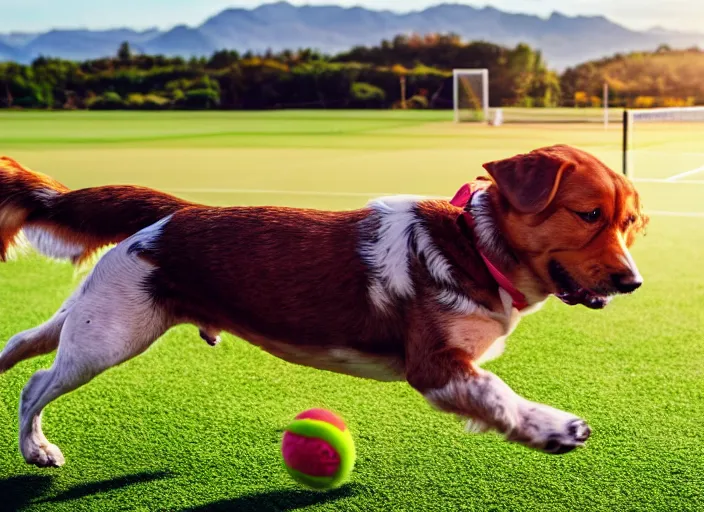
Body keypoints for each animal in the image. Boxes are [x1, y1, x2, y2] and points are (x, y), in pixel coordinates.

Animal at [0, 145, 648, 468]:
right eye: (588, 214)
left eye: (630, 223)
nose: (633, 281)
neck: (475, 246)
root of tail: (175, 212)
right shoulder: (435, 367)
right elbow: (500, 395)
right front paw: (553, 428)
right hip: (109, 335)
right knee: (35, 383)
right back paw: (35, 449)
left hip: (100, 318)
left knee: (21, 343)